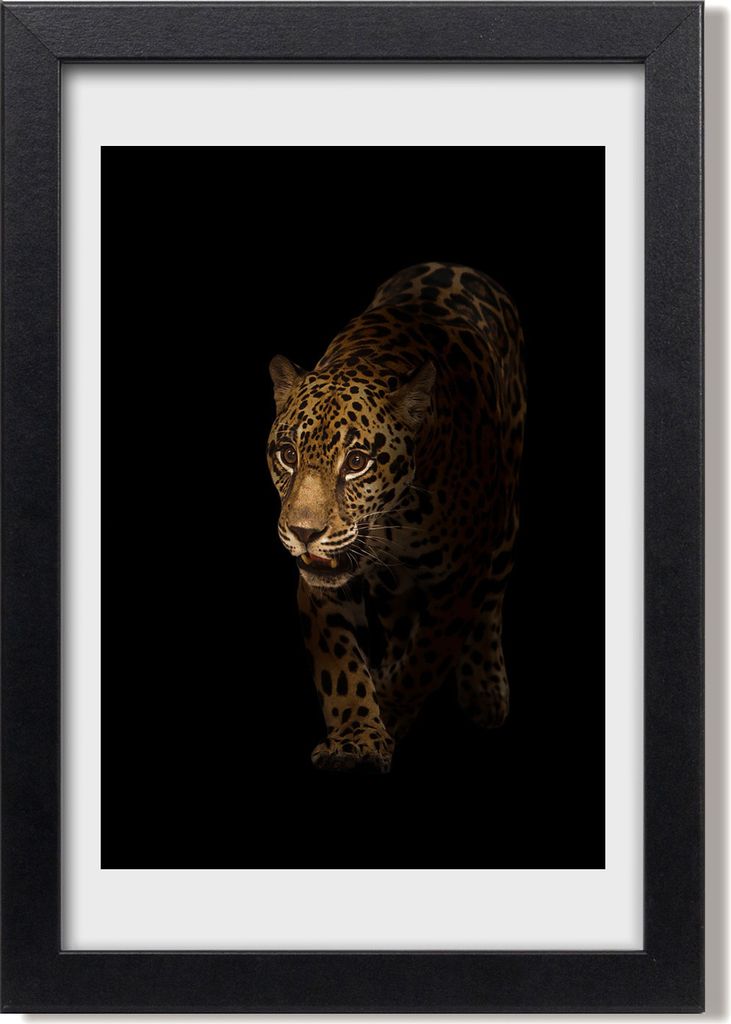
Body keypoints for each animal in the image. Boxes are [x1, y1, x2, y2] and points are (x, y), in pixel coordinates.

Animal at [267, 262, 526, 773]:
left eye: (356, 462)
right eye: (287, 454)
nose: (304, 532)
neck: (395, 521)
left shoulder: (461, 578)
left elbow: (428, 657)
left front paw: (389, 708)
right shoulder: (322, 584)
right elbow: (341, 666)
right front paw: (356, 737)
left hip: (505, 517)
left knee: (491, 598)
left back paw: (485, 687)